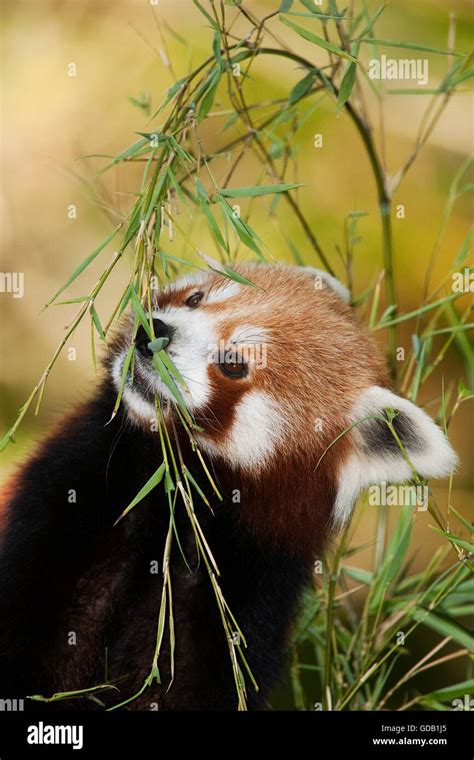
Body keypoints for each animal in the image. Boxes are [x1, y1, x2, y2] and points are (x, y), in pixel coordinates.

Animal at [0, 264, 456, 708]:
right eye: (195, 298)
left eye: (234, 363)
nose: (154, 333)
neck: (176, 509)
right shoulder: (66, 501)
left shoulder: (245, 598)